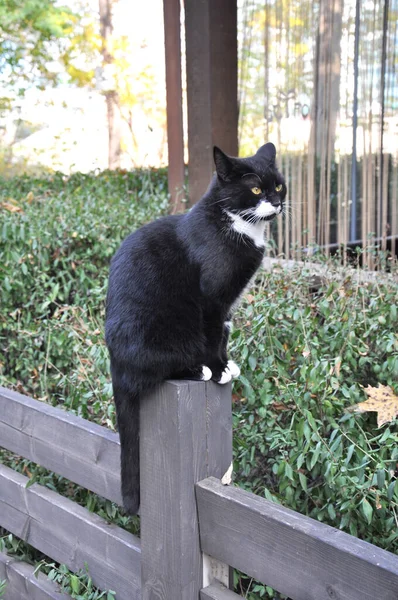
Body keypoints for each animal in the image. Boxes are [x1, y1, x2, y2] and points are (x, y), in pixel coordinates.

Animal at [105, 143, 286, 512]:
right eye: (255, 189)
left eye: (279, 185)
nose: (276, 202)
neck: (236, 225)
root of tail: (115, 363)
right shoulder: (212, 299)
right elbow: (213, 336)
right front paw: (218, 370)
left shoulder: (227, 306)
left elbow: (223, 335)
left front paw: (227, 363)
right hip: (165, 332)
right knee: (155, 370)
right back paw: (197, 370)